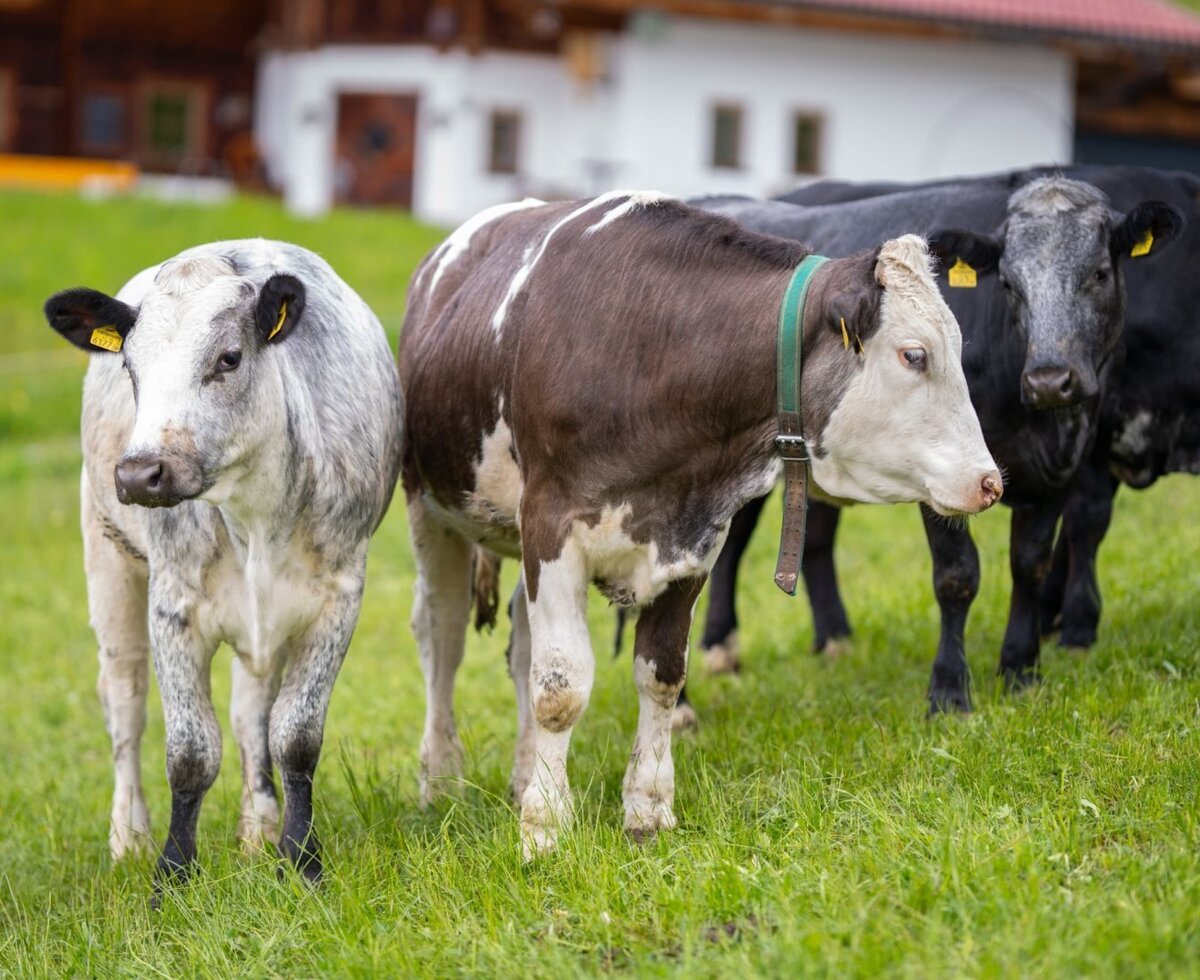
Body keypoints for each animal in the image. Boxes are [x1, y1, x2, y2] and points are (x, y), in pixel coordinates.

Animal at [43, 240, 402, 889]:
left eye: (229, 358)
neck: (253, 513)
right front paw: (171, 875)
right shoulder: (172, 605)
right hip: (108, 563)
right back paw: (128, 836)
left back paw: (257, 829)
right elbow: (189, 753)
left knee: (250, 713)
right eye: (130, 368)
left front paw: (299, 857)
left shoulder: (338, 598)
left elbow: (294, 736)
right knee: (124, 704)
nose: (140, 473)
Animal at [399, 191, 1001, 859]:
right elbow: (560, 688)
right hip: (430, 508)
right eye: (914, 354)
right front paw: (546, 827)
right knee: (443, 636)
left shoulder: (692, 543)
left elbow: (660, 675)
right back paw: (440, 779)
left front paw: (646, 809)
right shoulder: (551, 526)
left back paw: (524, 773)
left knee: (521, 643)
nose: (989, 481)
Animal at [689, 172, 1184, 717]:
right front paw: (949, 691)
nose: (1050, 380)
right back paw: (720, 648)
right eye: (1008, 284)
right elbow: (957, 576)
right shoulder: (941, 472)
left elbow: (1030, 564)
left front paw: (1021, 670)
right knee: (732, 543)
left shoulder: (1062, 469)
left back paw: (830, 641)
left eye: (1099, 274)